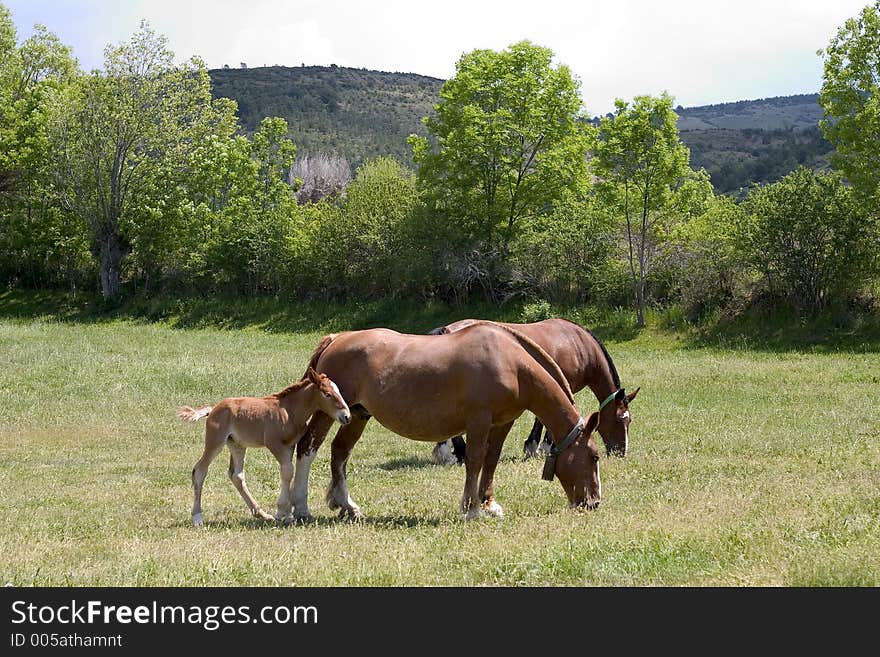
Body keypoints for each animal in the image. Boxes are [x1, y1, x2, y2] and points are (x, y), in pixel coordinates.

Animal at [177, 366, 352, 524]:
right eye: (327, 394)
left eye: (339, 391)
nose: (347, 416)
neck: (290, 411)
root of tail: (213, 409)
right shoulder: (274, 444)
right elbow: (288, 471)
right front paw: (283, 513)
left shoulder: (290, 446)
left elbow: (287, 472)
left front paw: (285, 513)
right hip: (215, 442)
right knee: (200, 470)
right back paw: (197, 518)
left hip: (237, 444)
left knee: (237, 475)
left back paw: (261, 514)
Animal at [292, 320, 600, 520]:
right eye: (594, 457)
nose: (594, 502)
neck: (511, 363)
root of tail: (336, 338)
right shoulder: (478, 421)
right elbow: (475, 460)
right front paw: (472, 509)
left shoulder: (503, 422)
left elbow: (491, 460)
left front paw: (489, 504)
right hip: (327, 412)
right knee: (307, 448)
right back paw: (300, 508)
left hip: (356, 415)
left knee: (340, 452)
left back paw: (347, 505)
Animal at [428, 316, 640, 462]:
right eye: (620, 419)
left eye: (629, 420)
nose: (621, 451)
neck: (578, 345)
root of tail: (448, 329)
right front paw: (543, 446)